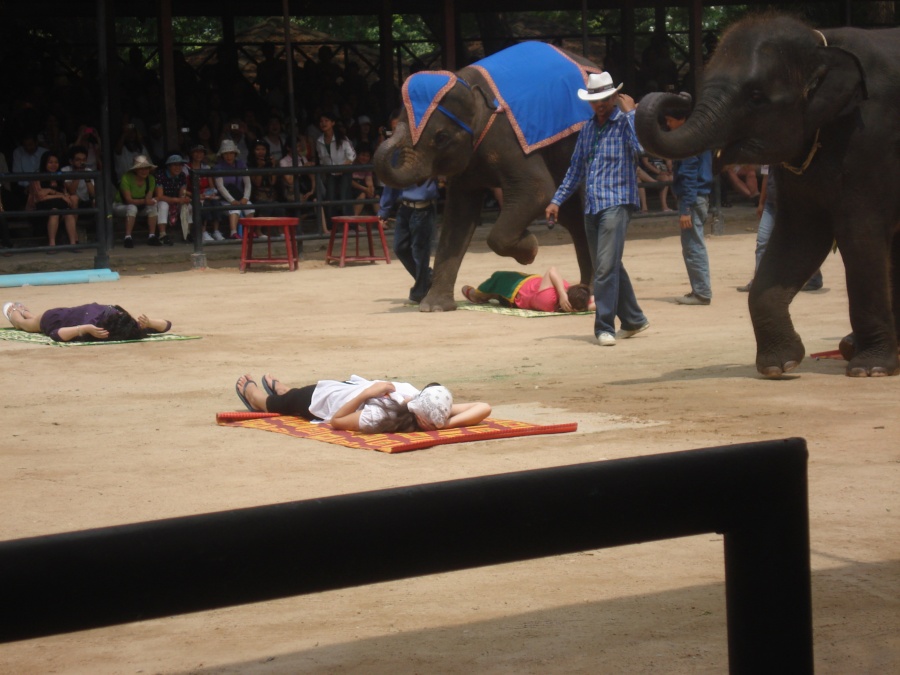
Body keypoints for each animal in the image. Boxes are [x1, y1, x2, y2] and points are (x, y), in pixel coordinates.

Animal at [372, 43, 596, 312]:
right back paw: (584, 290)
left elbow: (538, 190)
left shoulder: (510, 140)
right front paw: (434, 307)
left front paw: (530, 250)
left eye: (441, 137)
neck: (468, 82)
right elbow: (458, 214)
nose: (388, 130)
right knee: (573, 218)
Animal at [636, 14, 900, 380]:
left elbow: (859, 234)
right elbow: (798, 235)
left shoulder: (871, 138)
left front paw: (869, 369)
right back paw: (853, 347)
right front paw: (779, 366)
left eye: (756, 97)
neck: (822, 44)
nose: (680, 94)